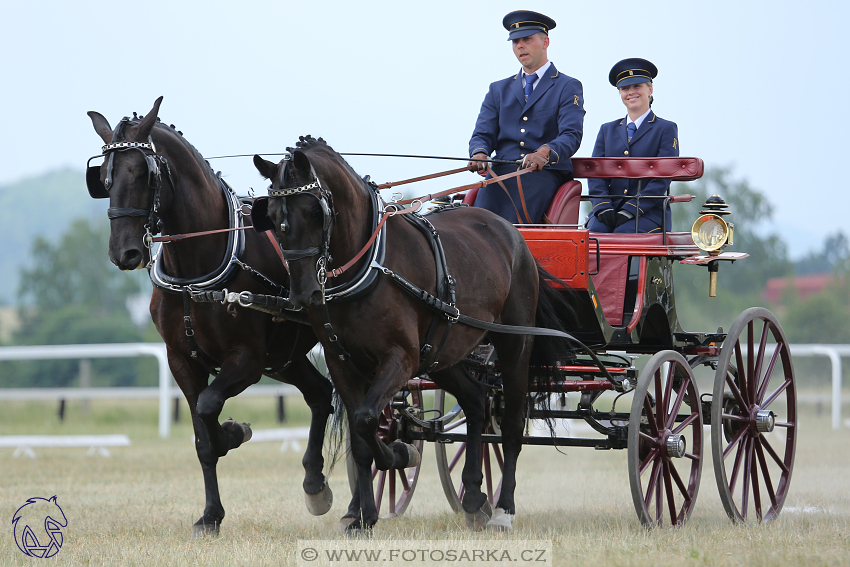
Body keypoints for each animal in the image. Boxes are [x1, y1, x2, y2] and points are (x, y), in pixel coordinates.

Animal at [86, 97, 338, 536]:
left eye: (143, 173)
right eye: (103, 177)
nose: (124, 253)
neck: (197, 269)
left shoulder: (247, 361)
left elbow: (207, 409)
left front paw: (234, 432)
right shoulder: (182, 361)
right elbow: (202, 439)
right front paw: (210, 515)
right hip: (285, 358)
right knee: (321, 395)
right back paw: (314, 482)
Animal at [252, 136, 568, 532]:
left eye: (314, 211)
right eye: (272, 218)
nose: (303, 295)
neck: (369, 264)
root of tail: (512, 232)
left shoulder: (400, 358)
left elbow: (367, 419)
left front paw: (399, 454)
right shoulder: (342, 363)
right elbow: (361, 435)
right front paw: (364, 517)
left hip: (515, 342)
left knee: (510, 424)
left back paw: (503, 509)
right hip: (443, 353)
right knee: (476, 401)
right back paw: (474, 495)